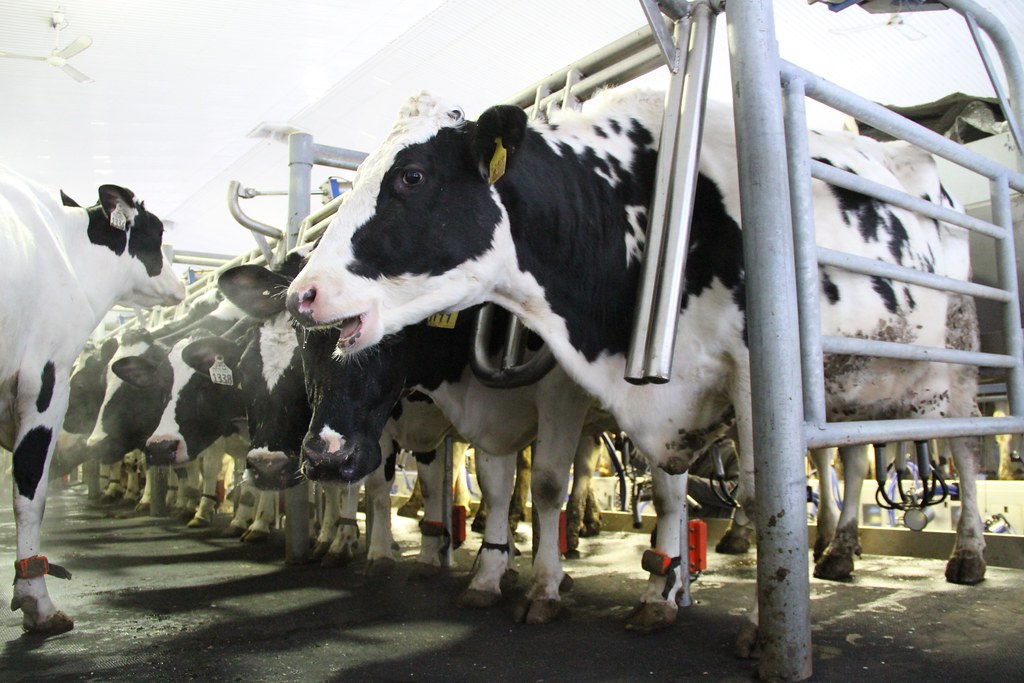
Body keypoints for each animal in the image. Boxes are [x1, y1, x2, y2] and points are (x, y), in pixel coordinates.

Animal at [284, 88, 984, 641]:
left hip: (956, 361)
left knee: (961, 453)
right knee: (853, 455)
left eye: (412, 177)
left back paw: (959, 555)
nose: (302, 294)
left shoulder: (736, 373)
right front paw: (500, 577)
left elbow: (754, 496)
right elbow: (509, 486)